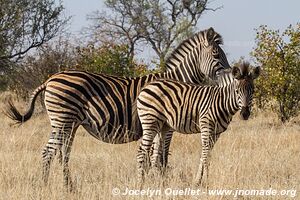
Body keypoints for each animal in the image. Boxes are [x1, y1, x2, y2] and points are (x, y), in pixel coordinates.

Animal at [5, 27, 230, 189]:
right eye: (216, 54)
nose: (232, 74)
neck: (177, 85)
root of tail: (50, 79)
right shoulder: (165, 127)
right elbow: (161, 157)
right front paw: (160, 182)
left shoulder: (160, 126)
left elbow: (156, 157)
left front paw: (155, 181)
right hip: (62, 120)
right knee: (48, 152)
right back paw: (43, 187)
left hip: (69, 124)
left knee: (62, 153)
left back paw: (68, 187)